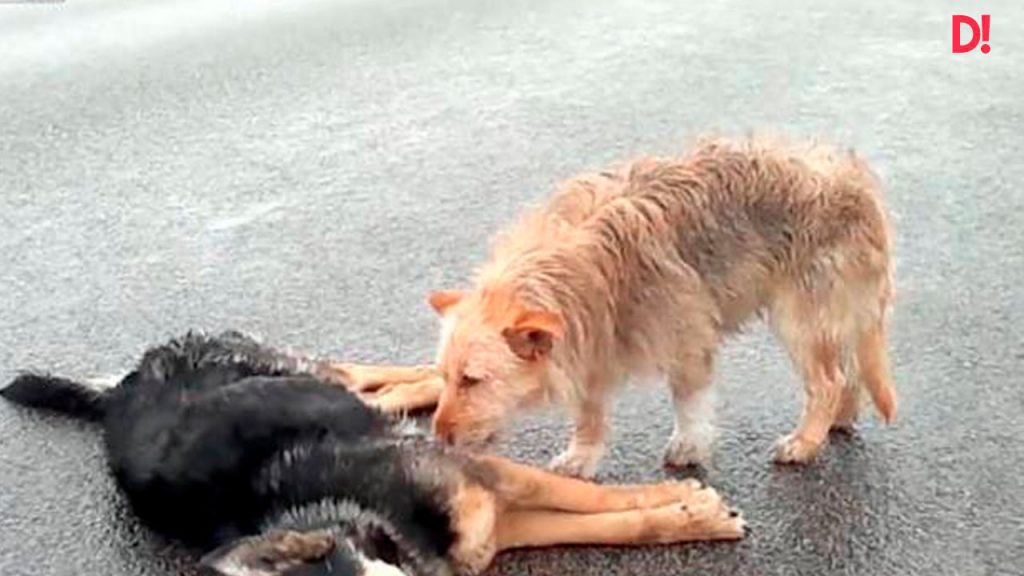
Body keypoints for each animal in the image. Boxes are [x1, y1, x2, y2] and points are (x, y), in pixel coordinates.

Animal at [4, 330, 749, 569]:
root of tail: (126, 382)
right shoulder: (491, 526)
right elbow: (609, 522)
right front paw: (689, 513)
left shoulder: (491, 476)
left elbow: (598, 497)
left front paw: (690, 506)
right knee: (379, 391)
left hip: (293, 367)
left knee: (360, 372)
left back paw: (447, 378)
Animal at [428, 138, 892, 475]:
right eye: (445, 378)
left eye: (472, 380)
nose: (438, 438)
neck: (571, 268)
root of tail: (859, 184)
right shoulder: (590, 343)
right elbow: (588, 408)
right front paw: (583, 453)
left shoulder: (685, 336)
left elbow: (689, 401)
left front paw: (689, 444)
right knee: (847, 370)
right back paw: (839, 418)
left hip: (800, 318)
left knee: (828, 381)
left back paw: (806, 440)